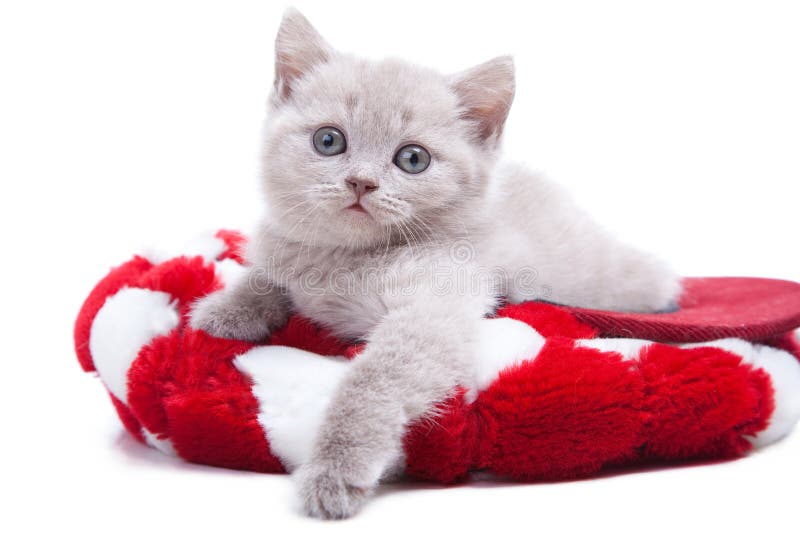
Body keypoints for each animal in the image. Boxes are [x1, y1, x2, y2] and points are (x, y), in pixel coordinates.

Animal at [189, 7, 680, 520]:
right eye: (328, 140)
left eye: (412, 159)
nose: (361, 182)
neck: (346, 257)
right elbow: (268, 274)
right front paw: (225, 311)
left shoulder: (432, 312)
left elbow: (372, 382)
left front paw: (335, 470)